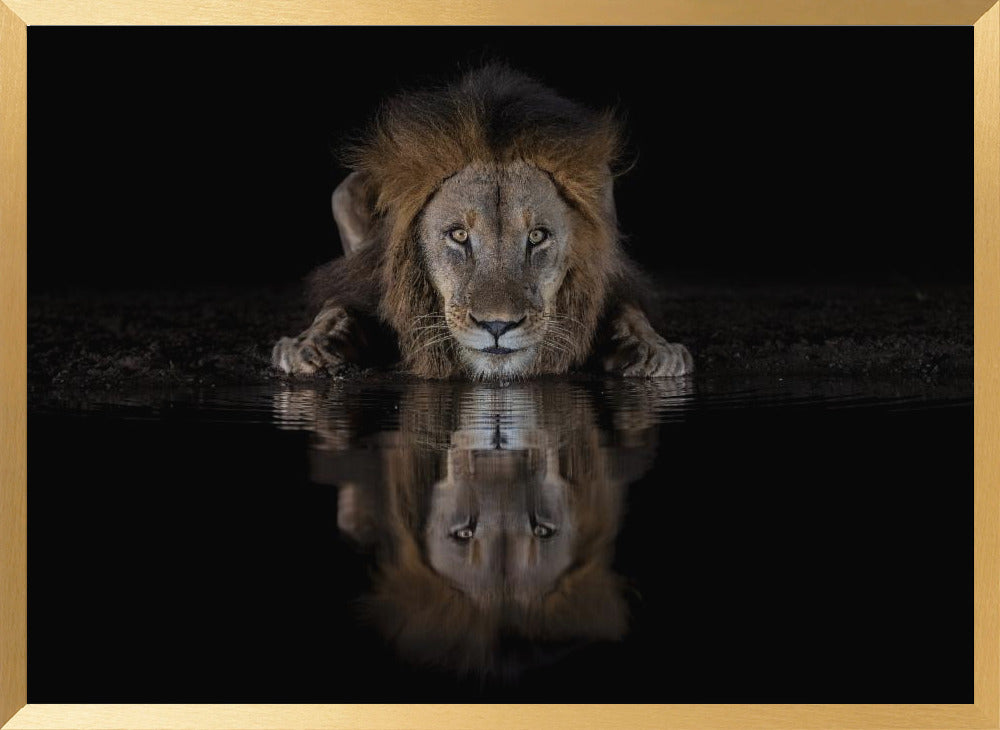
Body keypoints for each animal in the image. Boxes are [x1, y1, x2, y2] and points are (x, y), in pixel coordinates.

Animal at [272, 64, 693, 381]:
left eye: (537, 236)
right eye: (459, 235)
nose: (497, 326)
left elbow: (628, 310)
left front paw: (655, 349)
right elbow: (337, 305)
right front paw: (309, 345)